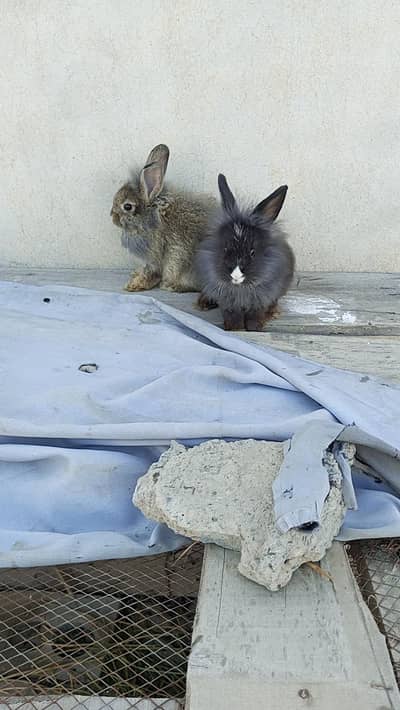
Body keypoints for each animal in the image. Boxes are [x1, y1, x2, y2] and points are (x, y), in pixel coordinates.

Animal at [110, 144, 215, 292]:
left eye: (128, 206)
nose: (112, 216)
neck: (147, 218)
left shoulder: (154, 257)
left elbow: (151, 273)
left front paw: (134, 285)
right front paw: (135, 274)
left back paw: (171, 286)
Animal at [195, 173, 295, 331]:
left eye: (253, 252)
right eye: (224, 248)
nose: (236, 275)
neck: (240, 289)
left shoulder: (261, 299)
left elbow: (255, 315)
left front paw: (255, 328)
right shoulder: (228, 302)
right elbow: (232, 315)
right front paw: (235, 328)